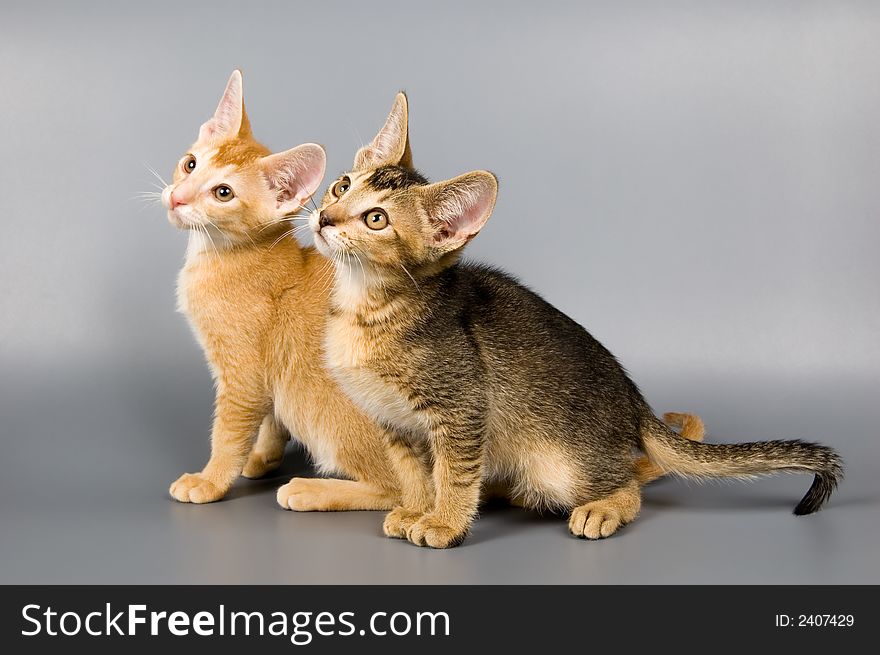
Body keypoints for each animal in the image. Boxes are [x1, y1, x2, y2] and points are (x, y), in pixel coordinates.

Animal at [162, 73, 402, 512]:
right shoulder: (273, 368)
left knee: (405, 492)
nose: (176, 196)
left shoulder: (242, 376)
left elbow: (228, 431)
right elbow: (271, 414)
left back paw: (313, 490)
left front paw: (211, 480)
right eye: (190, 164)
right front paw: (263, 455)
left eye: (223, 193)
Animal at [312, 95, 844, 552]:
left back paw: (602, 509)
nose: (323, 217)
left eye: (376, 219)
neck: (366, 308)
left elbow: (455, 474)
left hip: (561, 463)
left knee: (628, 481)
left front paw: (444, 522)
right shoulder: (393, 422)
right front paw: (416, 509)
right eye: (342, 186)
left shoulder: (462, 408)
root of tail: (633, 400)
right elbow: (413, 473)